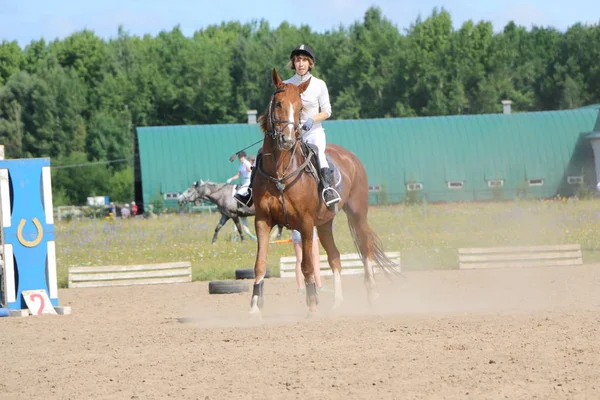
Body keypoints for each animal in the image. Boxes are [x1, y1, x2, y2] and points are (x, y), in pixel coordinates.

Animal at [248, 67, 398, 314]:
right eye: (278, 103)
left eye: (301, 108)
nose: (287, 140)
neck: (280, 170)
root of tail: (351, 157)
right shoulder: (262, 220)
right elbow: (260, 264)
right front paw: (254, 309)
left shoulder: (306, 223)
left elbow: (307, 266)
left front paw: (312, 305)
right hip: (325, 223)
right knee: (335, 257)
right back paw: (337, 302)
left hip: (357, 213)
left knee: (365, 248)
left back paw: (373, 295)